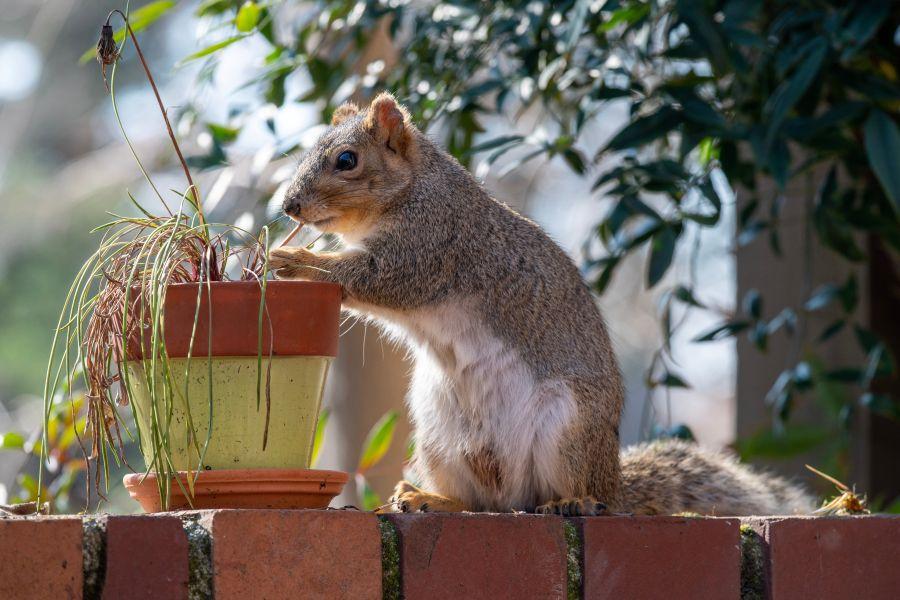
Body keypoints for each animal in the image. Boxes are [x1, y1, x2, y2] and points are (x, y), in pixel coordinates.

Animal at [269, 92, 812, 516]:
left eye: (346, 160)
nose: (289, 207)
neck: (412, 190)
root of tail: (615, 485)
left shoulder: (432, 244)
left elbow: (380, 280)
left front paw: (296, 259)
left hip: (567, 427)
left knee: (565, 494)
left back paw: (573, 502)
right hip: (437, 435)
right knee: (480, 504)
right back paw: (430, 498)